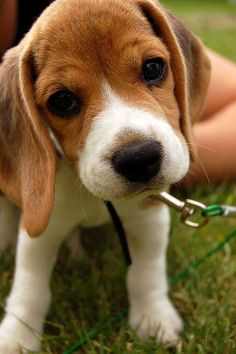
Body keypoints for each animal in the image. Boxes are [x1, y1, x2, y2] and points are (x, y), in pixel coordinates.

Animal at [0, 0, 210, 350]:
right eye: (62, 100)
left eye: (153, 68)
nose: (139, 159)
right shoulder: (41, 228)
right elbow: (30, 288)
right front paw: (17, 336)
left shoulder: (149, 217)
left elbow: (146, 274)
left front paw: (153, 319)